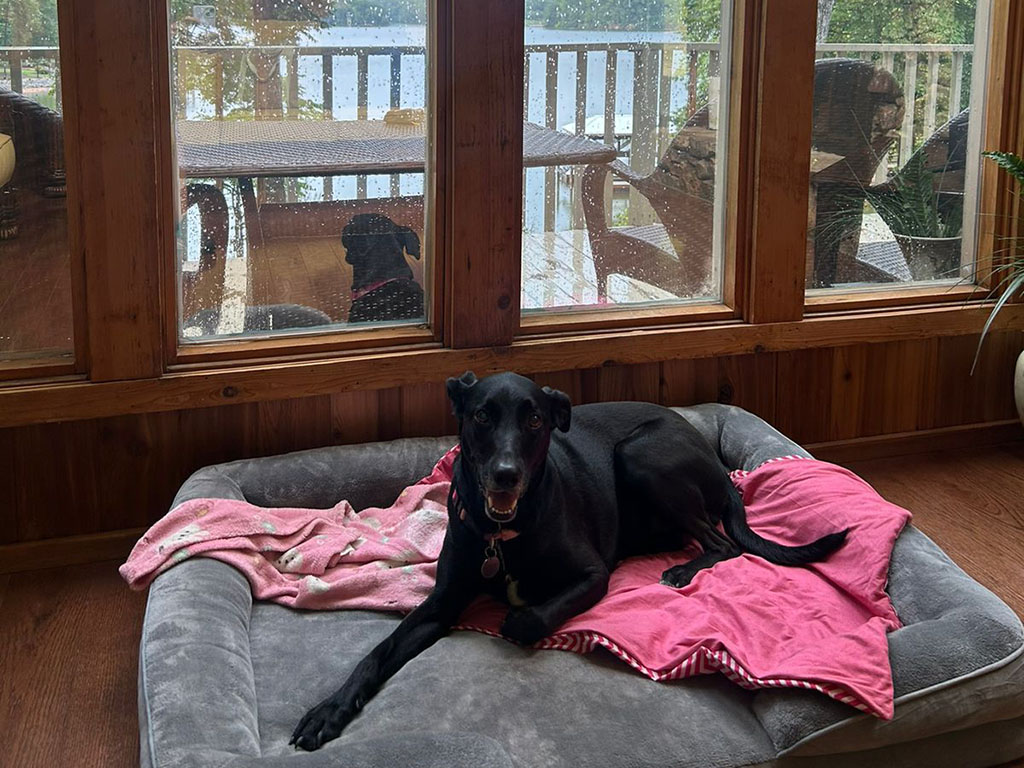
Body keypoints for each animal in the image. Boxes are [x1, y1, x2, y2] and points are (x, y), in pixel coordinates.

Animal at [290, 372, 847, 753]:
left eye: (534, 419)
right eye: (482, 416)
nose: (506, 475)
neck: (502, 535)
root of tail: (716, 462)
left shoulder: (592, 576)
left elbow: (528, 617)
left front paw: (518, 616)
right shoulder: (442, 603)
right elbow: (376, 655)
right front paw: (329, 710)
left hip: (641, 455)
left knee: (723, 543)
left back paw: (681, 571)